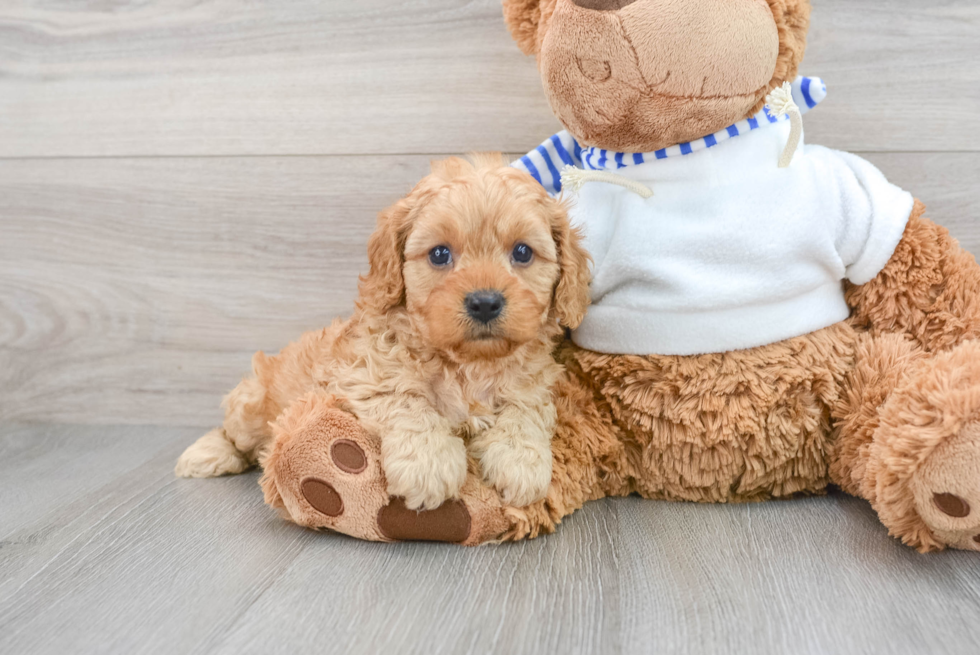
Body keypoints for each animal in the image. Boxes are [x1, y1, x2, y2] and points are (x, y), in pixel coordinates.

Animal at [175, 155, 588, 512]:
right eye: (439, 254)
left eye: (523, 252)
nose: (485, 302)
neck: (468, 364)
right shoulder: (364, 375)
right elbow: (408, 401)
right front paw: (429, 464)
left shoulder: (534, 382)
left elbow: (524, 411)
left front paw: (521, 463)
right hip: (251, 405)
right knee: (233, 434)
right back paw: (207, 454)